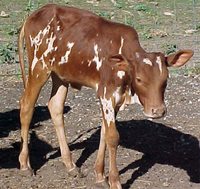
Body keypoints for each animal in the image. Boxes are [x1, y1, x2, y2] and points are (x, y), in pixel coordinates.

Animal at [18, 3, 194, 188]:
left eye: (165, 78)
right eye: (139, 79)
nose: (158, 111)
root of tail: (37, 13)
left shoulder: (114, 100)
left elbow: (104, 133)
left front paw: (100, 176)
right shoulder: (106, 95)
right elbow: (112, 137)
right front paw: (115, 181)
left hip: (60, 75)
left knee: (55, 107)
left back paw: (70, 165)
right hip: (38, 68)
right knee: (27, 105)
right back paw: (25, 165)